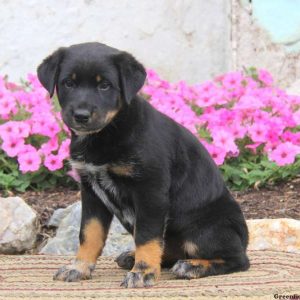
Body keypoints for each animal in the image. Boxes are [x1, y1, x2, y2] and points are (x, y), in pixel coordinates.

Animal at [37, 42, 248, 288]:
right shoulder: (91, 191)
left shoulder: (150, 191)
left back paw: (192, 266)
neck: (107, 133)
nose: (81, 116)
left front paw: (143, 272)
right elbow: (89, 233)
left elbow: (147, 236)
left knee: (238, 259)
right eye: (68, 83)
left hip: (203, 229)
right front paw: (79, 268)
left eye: (105, 86)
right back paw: (133, 257)